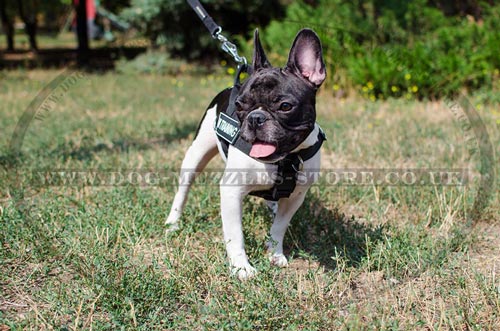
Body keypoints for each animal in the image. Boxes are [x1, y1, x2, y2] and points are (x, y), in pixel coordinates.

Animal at [166, 28, 326, 280]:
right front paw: (241, 267)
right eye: (240, 106)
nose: (255, 118)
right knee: (183, 190)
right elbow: (235, 235)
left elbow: (279, 227)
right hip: (195, 155)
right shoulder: (231, 192)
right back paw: (173, 222)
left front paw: (275, 254)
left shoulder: (295, 197)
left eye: (285, 106)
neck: (283, 161)